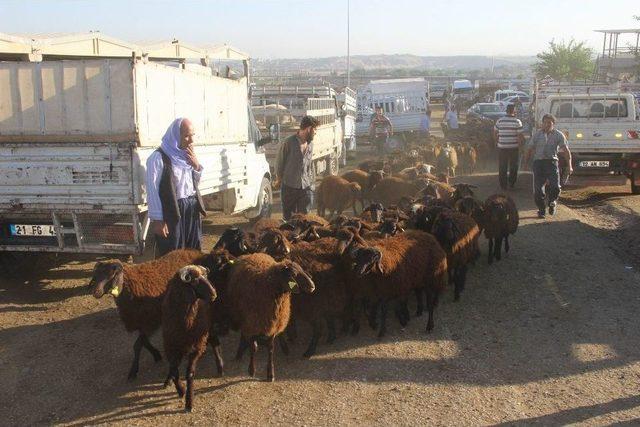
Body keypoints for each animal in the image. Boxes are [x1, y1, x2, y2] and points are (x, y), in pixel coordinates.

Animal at [89, 247, 205, 382]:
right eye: (96, 275)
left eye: (111, 275)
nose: (95, 292)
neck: (132, 286)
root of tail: (192, 250)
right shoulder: (142, 322)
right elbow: (144, 342)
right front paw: (156, 354)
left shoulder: (150, 321)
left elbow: (137, 345)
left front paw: (133, 371)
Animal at [162, 266, 218, 412]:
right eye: (194, 281)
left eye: (206, 276)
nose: (214, 294)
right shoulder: (171, 346)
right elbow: (174, 370)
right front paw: (180, 390)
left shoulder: (197, 347)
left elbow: (190, 374)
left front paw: (189, 401)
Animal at [225, 254, 316, 382]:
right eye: (293, 274)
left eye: (302, 269)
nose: (313, 286)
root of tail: (252, 254)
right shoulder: (252, 324)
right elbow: (254, 347)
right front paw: (251, 370)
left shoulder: (274, 323)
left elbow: (271, 349)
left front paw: (270, 374)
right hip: (243, 317)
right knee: (244, 334)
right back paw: (240, 350)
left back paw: (284, 347)